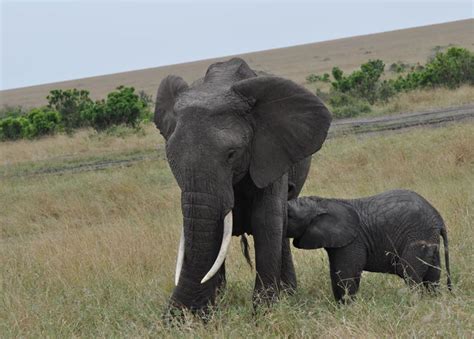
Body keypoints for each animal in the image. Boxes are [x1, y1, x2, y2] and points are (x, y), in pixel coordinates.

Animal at [154, 57, 332, 314]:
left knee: (282, 224)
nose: (174, 317)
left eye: (232, 154)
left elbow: (266, 220)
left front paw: (265, 312)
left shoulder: (271, 151)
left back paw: (289, 293)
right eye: (171, 157)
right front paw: (213, 308)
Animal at [286, 190, 454, 304]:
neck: (322, 202)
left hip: (418, 235)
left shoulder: (353, 241)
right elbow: (337, 273)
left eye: (290, 216)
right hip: (430, 240)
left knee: (409, 272)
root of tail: (439, 219)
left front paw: (347, 310)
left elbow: (345, 274)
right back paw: (433, 302)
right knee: (432, 276)